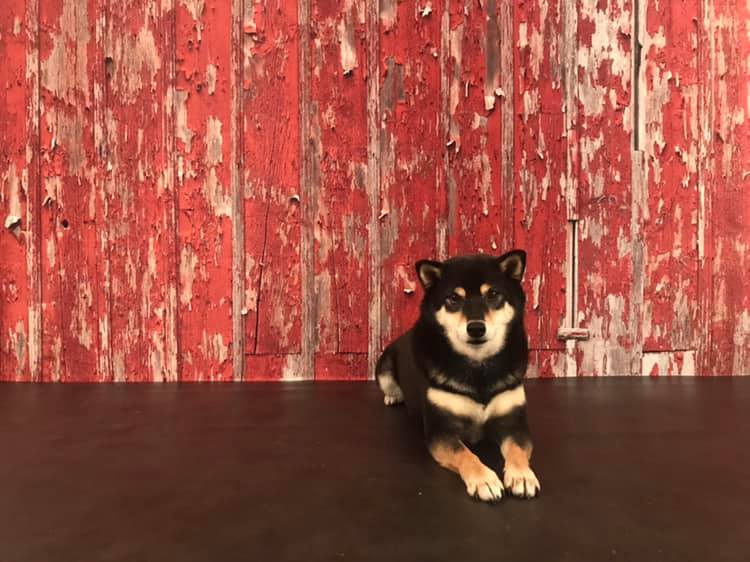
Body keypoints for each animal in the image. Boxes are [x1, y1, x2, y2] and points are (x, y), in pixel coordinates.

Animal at [376, 249, 540, 498]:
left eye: (493, 294)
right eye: (453, 298)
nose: (476, 328)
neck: (478, 367)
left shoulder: (514, 423)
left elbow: (517, 450)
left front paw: (522, 475)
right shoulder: (441, 431)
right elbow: (466, 454)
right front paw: (484, 480)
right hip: (383, 366)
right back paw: (394, 395)